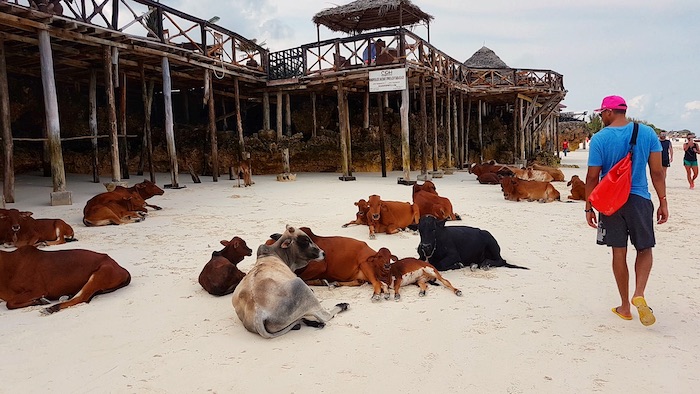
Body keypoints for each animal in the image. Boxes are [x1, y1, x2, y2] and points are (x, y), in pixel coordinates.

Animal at [0, 246, 131, 314]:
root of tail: (121, 268)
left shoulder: (38, 289)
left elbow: (9, 303)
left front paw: (40, 301)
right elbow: (10, 303)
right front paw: (39, 301)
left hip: (99, 274)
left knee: (82, 298)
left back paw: (52, 308)